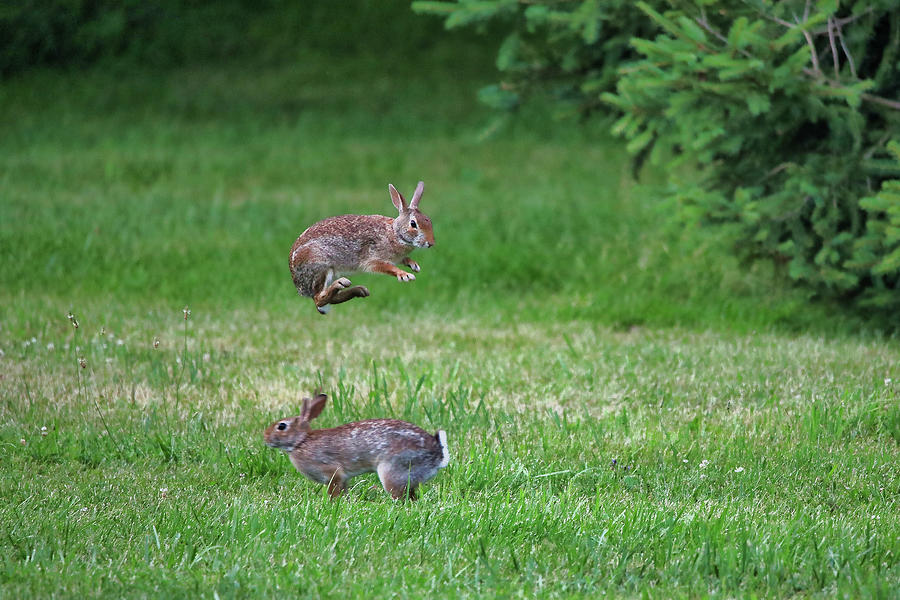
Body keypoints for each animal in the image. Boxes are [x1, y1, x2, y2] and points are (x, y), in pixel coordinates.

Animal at [266, 392, 450, 500]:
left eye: (281, 426)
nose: (266, 437)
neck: (301, 441)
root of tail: (438, 455)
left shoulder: (332, 472)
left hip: (393, 470)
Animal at [288, 180, 436, 314]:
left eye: (428, 220)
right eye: (413, 224)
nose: (431, 243)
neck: (395, 233)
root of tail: (299, 285)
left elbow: (404, 259)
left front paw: (414, 265)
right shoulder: (373, 259)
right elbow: (388, 267)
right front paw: (405, 275)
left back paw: (359, 290)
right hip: (320, 265)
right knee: (319, 298)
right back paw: (342, 284)